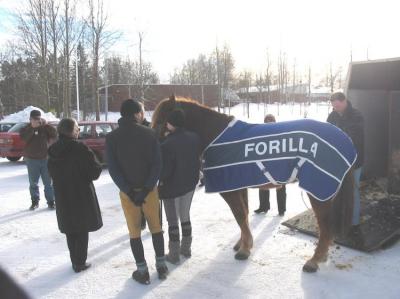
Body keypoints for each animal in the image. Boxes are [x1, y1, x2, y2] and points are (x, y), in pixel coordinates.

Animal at [152, 95, 354, 274]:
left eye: (161, 120)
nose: (156, 154)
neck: (217, 136)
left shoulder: (230, 190)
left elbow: (240, 215)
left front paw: (245, 249)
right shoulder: (239, 186)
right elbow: (244, 215)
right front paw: (241, 244)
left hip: (318, 192)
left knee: (325, 225)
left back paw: (314, 261)